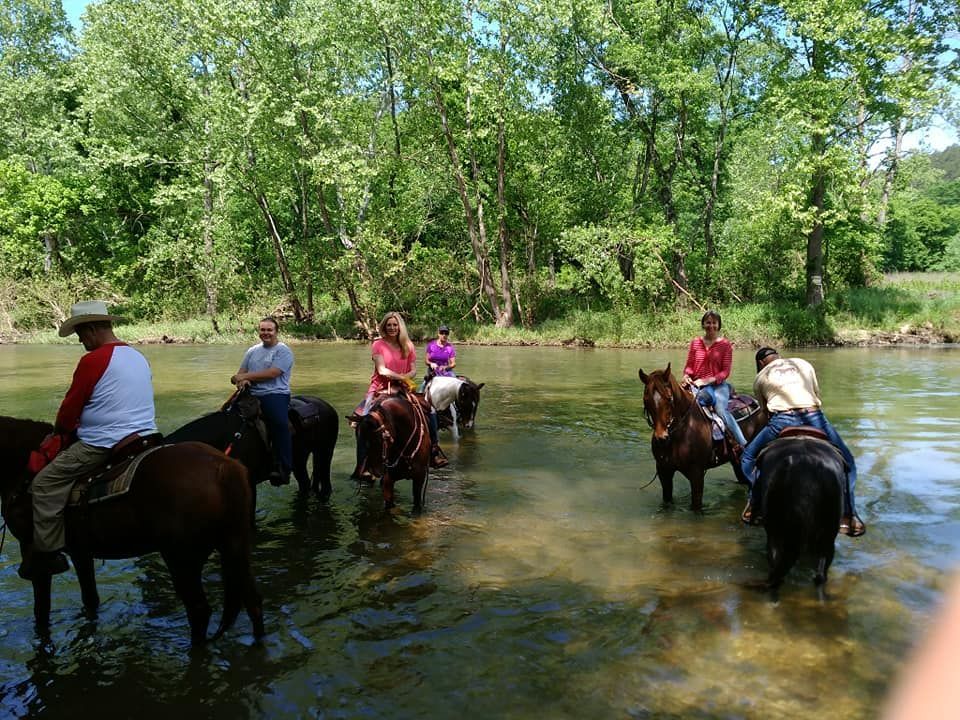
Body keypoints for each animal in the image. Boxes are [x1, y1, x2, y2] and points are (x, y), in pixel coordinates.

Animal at [0, 416, 262, 648]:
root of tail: (224, 467)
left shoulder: (35, 556)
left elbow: (41, 610)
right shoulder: (81, 551)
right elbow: (90, 598)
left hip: (181, 558)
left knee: (199, 610)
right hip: (235, 544)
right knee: (252, 601)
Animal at [640, 362, 768, 510]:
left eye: (669, 398)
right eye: (646, 399)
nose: (661, 438)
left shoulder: (697, 473)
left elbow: (696, 506)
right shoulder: (664, 472)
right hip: (736, 460)